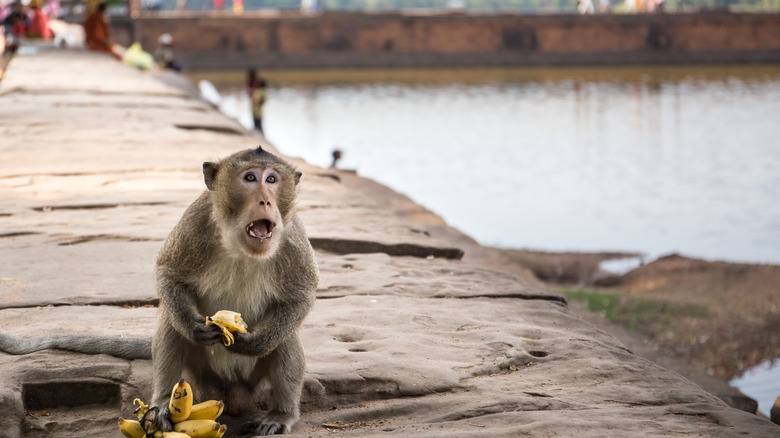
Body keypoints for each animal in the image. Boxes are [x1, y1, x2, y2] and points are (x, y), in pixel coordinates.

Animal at [153, 146, 320, 434]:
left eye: (272, 180)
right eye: (250, 178)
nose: (266, 202)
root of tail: (229, 395)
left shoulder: (293, 236)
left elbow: (300, 297)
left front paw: (253, 343)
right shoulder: (196, 219)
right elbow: (169, 274)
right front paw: (193, 328)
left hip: (253, 379)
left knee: (285, 337)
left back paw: (281, 414)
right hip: (201, 374)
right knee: (169, 322)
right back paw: (164, 404)